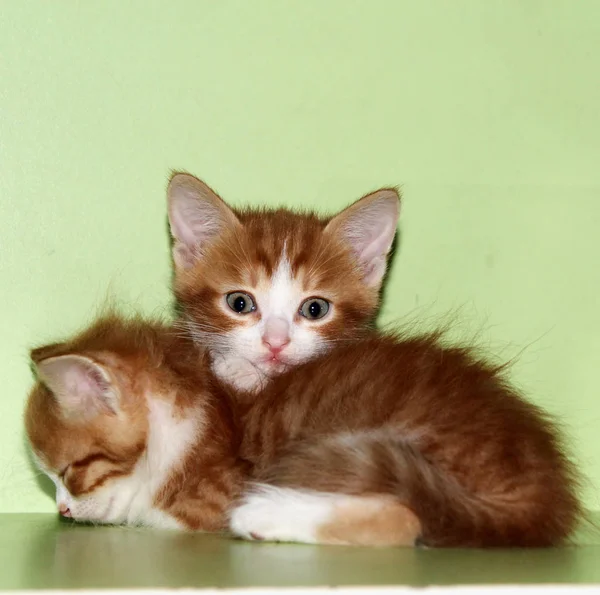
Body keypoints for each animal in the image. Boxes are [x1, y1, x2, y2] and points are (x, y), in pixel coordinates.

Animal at [24, 314, 580, 548]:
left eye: (70, 472)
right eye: (47, 480)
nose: (61, 511)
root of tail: (546, 486)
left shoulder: (209, 496)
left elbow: (144, 513)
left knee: (406, 521)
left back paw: (267, 518)